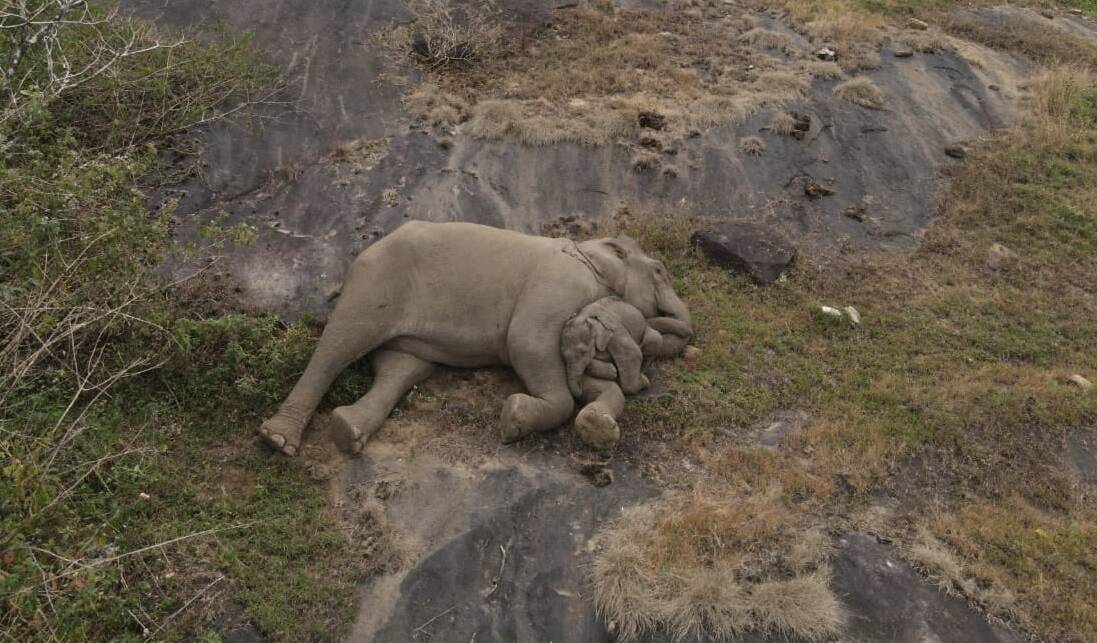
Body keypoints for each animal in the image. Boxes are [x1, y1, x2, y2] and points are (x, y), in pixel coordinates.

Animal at [257, 219, 688, 449]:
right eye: (661, 271)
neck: (589, 249)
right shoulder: (557, 284)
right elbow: (527, 342)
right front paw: (513, 420)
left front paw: (597, 421)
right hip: (375, 283)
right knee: (339, 345)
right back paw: (278, 441)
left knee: (402, 368)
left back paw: (347, 432)